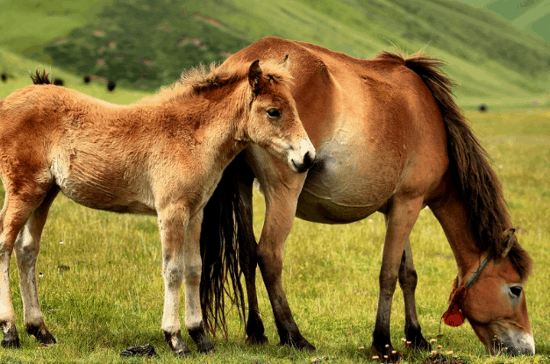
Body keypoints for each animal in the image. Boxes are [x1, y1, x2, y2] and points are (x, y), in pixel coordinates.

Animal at [0, 59, 314, 356]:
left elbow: (194, 268)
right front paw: (176, 340)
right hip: (23, 190)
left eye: (294, 107)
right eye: (273, 111)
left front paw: (201, 337)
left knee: (27, 251)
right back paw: (10, 332)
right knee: (5, 245)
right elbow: (173, 270)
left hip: (45, 192)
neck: (190, 137)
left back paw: (40, 331)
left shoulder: (195, 212)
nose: (308, 157)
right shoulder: (171, 210)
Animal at [201, 37, 536, 358]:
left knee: (247, 255)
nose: (528, 348)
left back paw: (256, 331)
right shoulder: (408, 204)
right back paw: (293, 336)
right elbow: (388, 274)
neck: (431, 120)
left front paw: (416, 337)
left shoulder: (397, 207)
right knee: (269, 255)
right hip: (284, 191)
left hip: (243, 185)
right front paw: (383, 343)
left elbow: (408, 274)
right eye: (515, 289)